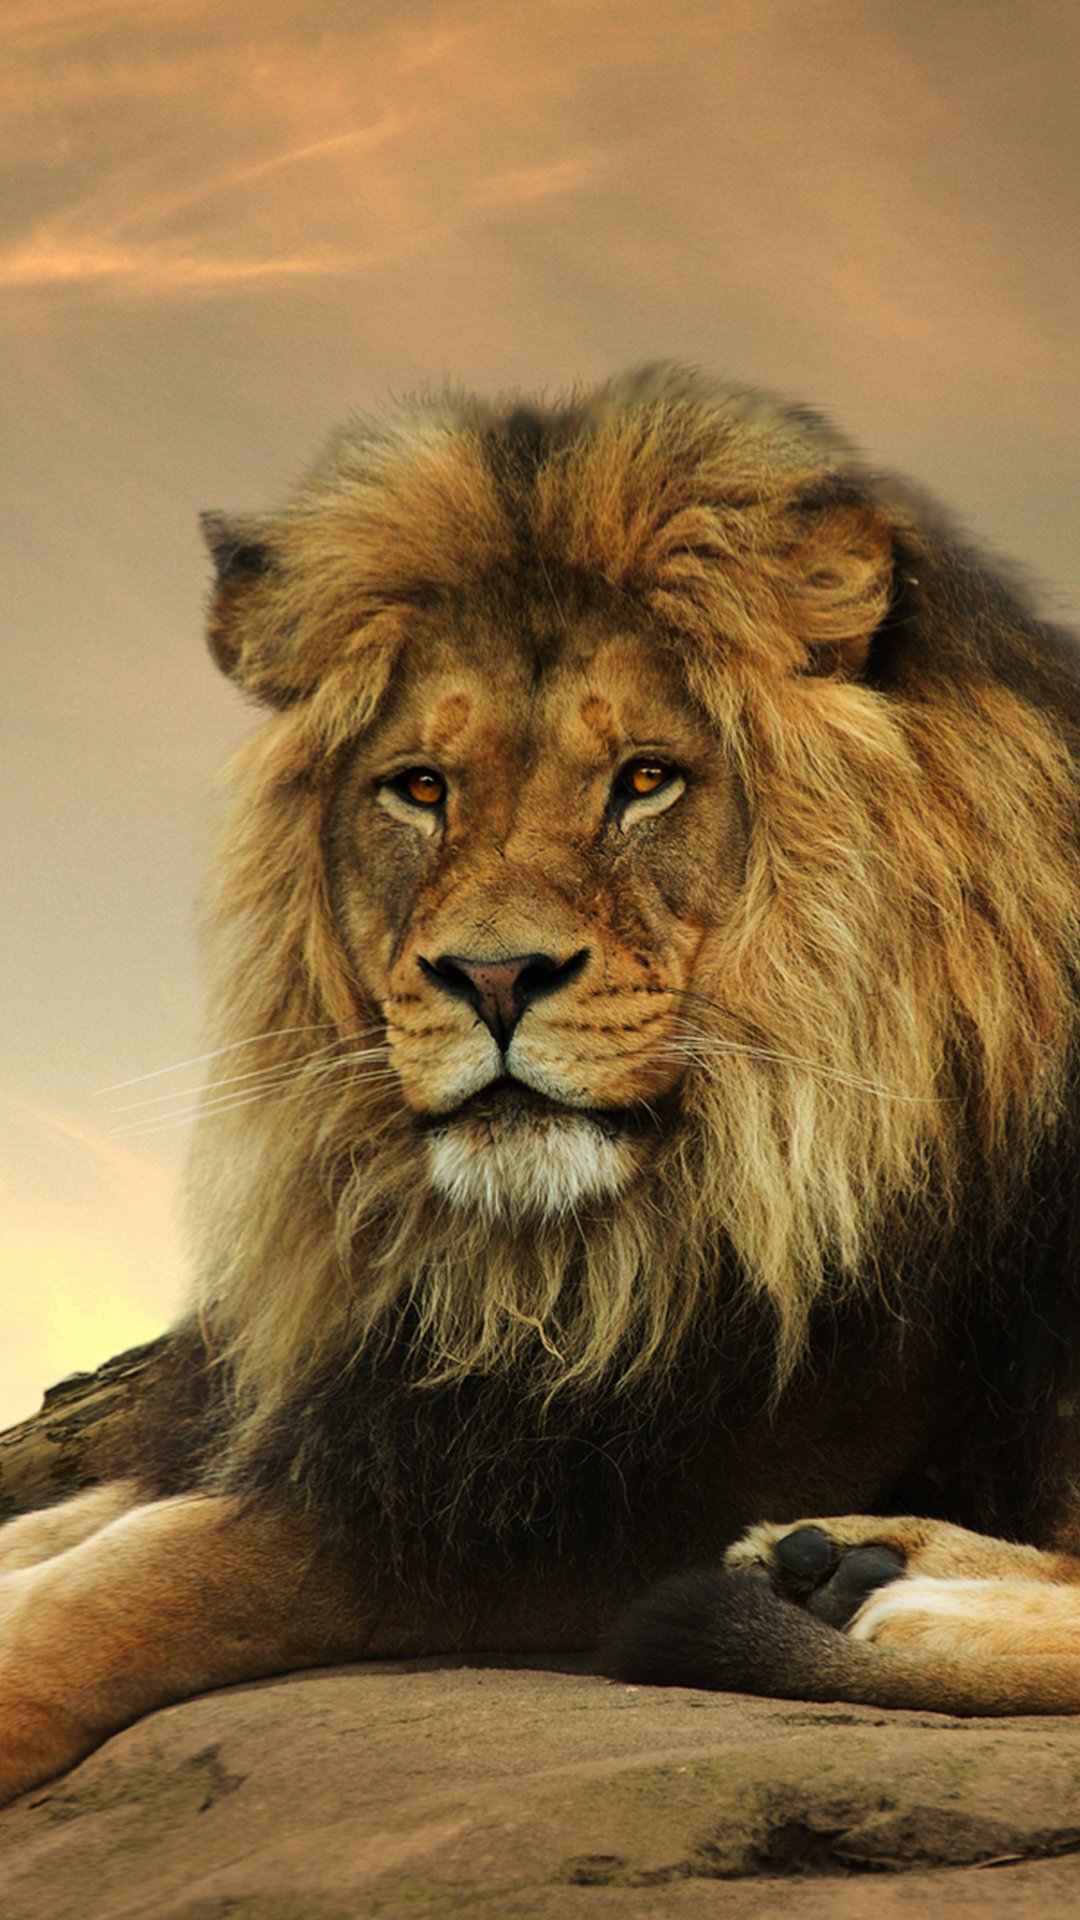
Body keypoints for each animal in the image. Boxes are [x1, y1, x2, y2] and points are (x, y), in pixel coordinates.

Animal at [5, 363, 1080, 1803]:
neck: (560, 1258)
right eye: (418, 789)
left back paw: (883, 1597)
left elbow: (143, 1582)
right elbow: (80, 1526)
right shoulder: (391, 1412)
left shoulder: (604, 1497)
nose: (497, 976)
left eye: (646, 780)